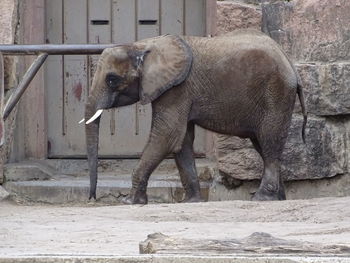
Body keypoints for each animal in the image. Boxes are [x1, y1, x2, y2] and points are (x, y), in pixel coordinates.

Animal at [81, 29, 306, 205]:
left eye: (112, 80)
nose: (92, 198)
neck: (142, 44)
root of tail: (291, 65)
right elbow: (182, 141)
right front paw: (191, 201)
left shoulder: (176, 89)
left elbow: (167, 136)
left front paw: (130, 202)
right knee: (266, 147)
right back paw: (278, 199)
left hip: (276, 94)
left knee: (269, 143)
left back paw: (262, 198)